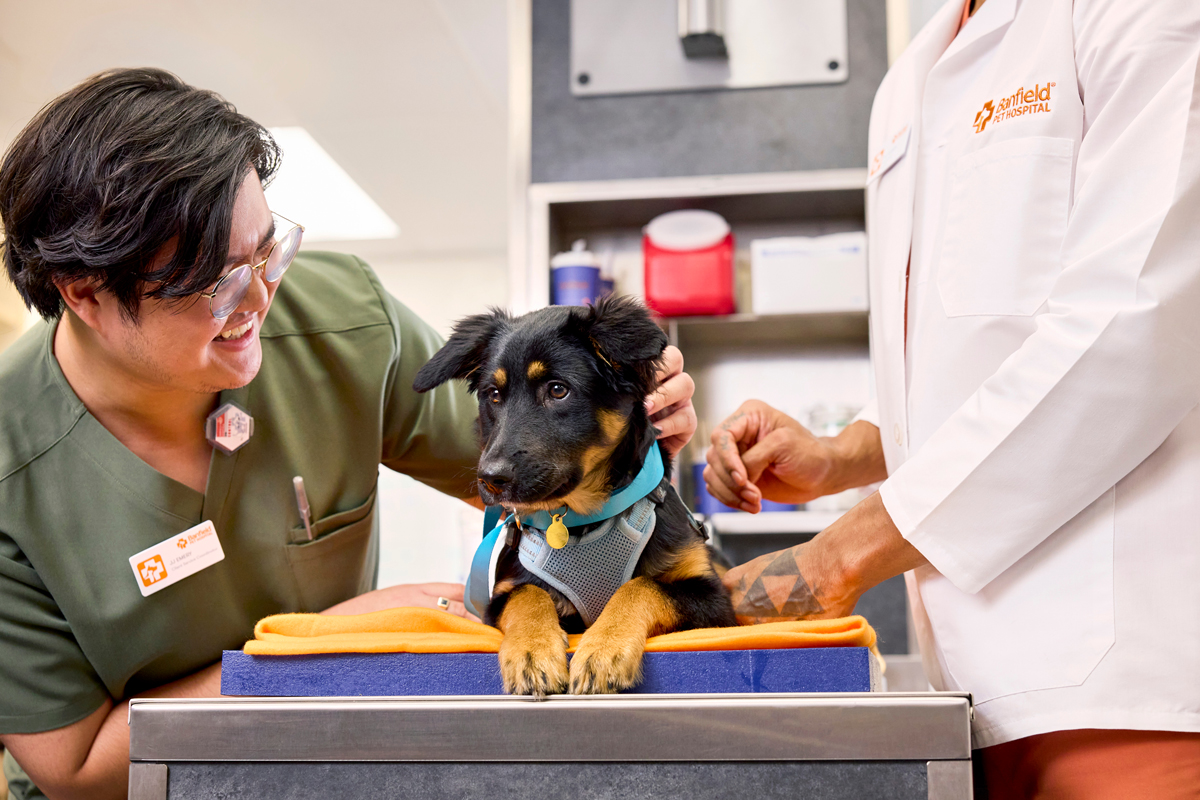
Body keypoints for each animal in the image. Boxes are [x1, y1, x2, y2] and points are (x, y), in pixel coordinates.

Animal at [412, 296, 734, 695]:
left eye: (557, 390)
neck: (580, 518)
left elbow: (643, 586)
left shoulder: (715, 601)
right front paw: (532, 651)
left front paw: (605, 648)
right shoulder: (501, 596)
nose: (490, 478)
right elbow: (528, 595)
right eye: (495, 395)